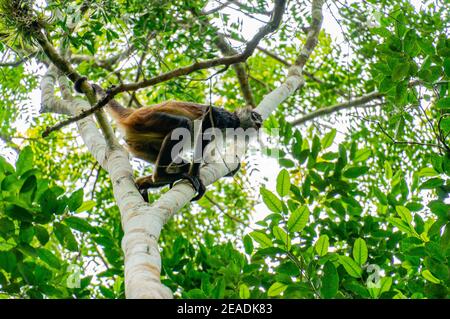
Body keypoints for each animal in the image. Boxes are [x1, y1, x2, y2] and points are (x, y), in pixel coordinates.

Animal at [74, 77, 264, 201]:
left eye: (260, 120)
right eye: (255, 117)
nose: (260, 124)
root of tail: (133, 113)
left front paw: (232, 168)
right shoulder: (226, 118)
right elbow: (208, 120)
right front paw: (194, 176)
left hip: (140, 145)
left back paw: (144, 183)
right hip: (146, 121)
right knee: (183, 125)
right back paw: (160, 177)